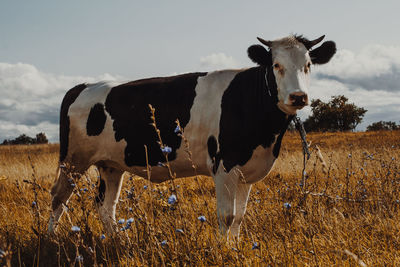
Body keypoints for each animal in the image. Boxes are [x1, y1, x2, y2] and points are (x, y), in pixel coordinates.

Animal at [50, 34, 338, 238]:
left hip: (111, 165)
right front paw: (224, 251)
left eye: (308, 65)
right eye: (276, 65)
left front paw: (235, 248)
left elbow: (240, 216)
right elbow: (227, 216)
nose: (298, 97)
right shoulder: (224, 165)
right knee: (59, 198)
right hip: (73, 160)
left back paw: (119, 240)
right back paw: (51, 239)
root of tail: (83, 86)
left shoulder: (248, 169)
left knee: (105, 206)